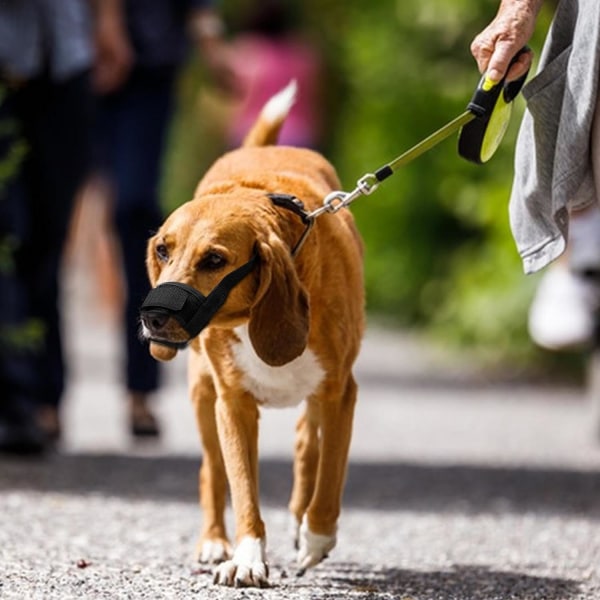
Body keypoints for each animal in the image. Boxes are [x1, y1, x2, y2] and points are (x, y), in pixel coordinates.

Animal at [141, 82, 366, 588]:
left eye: (214, 260)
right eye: (163, 250)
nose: (153, 318)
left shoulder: (340, 393)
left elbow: (330, 477)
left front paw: (316, 537)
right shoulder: (233, 405)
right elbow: (242, 484)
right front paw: (246, 557)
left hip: (318, 397)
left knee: (307, 448)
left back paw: (302, 527)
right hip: (203, 396)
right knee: (211, 470)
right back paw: (213, 540)